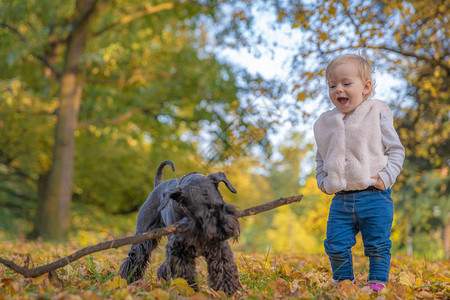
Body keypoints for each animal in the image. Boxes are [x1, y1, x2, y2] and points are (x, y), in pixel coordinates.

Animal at [118, 161, 241, 294]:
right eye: (201, 213)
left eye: (221, 204)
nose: (225, 229)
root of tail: (157, 186)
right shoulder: (179, 249)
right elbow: (184, 274)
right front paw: (189, 291)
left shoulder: (218, 247)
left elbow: (224, 268)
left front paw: (229, 292)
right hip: (144, 237)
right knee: (135, 258)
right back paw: (127, 281)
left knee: (163, 267)